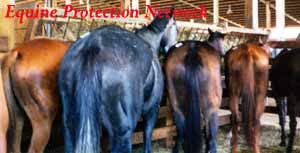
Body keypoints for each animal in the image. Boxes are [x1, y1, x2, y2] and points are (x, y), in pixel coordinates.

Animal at [57, 9, 177, 153]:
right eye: (175, 26)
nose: (172, 48)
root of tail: (93, 45)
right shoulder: (152, 110)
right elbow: (147, 139)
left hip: (70, 121)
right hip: (123, 127)